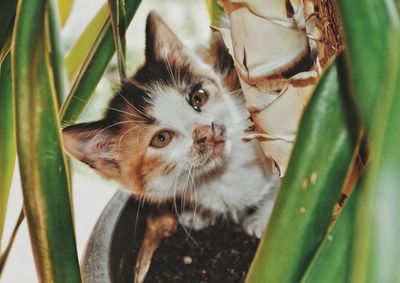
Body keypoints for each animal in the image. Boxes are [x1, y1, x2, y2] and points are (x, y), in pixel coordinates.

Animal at [63, 11, 282, 237]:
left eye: (198, 97)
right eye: (161, 138)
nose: (205, 131)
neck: (219, 174)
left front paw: (265, 220)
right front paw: (200, 215)